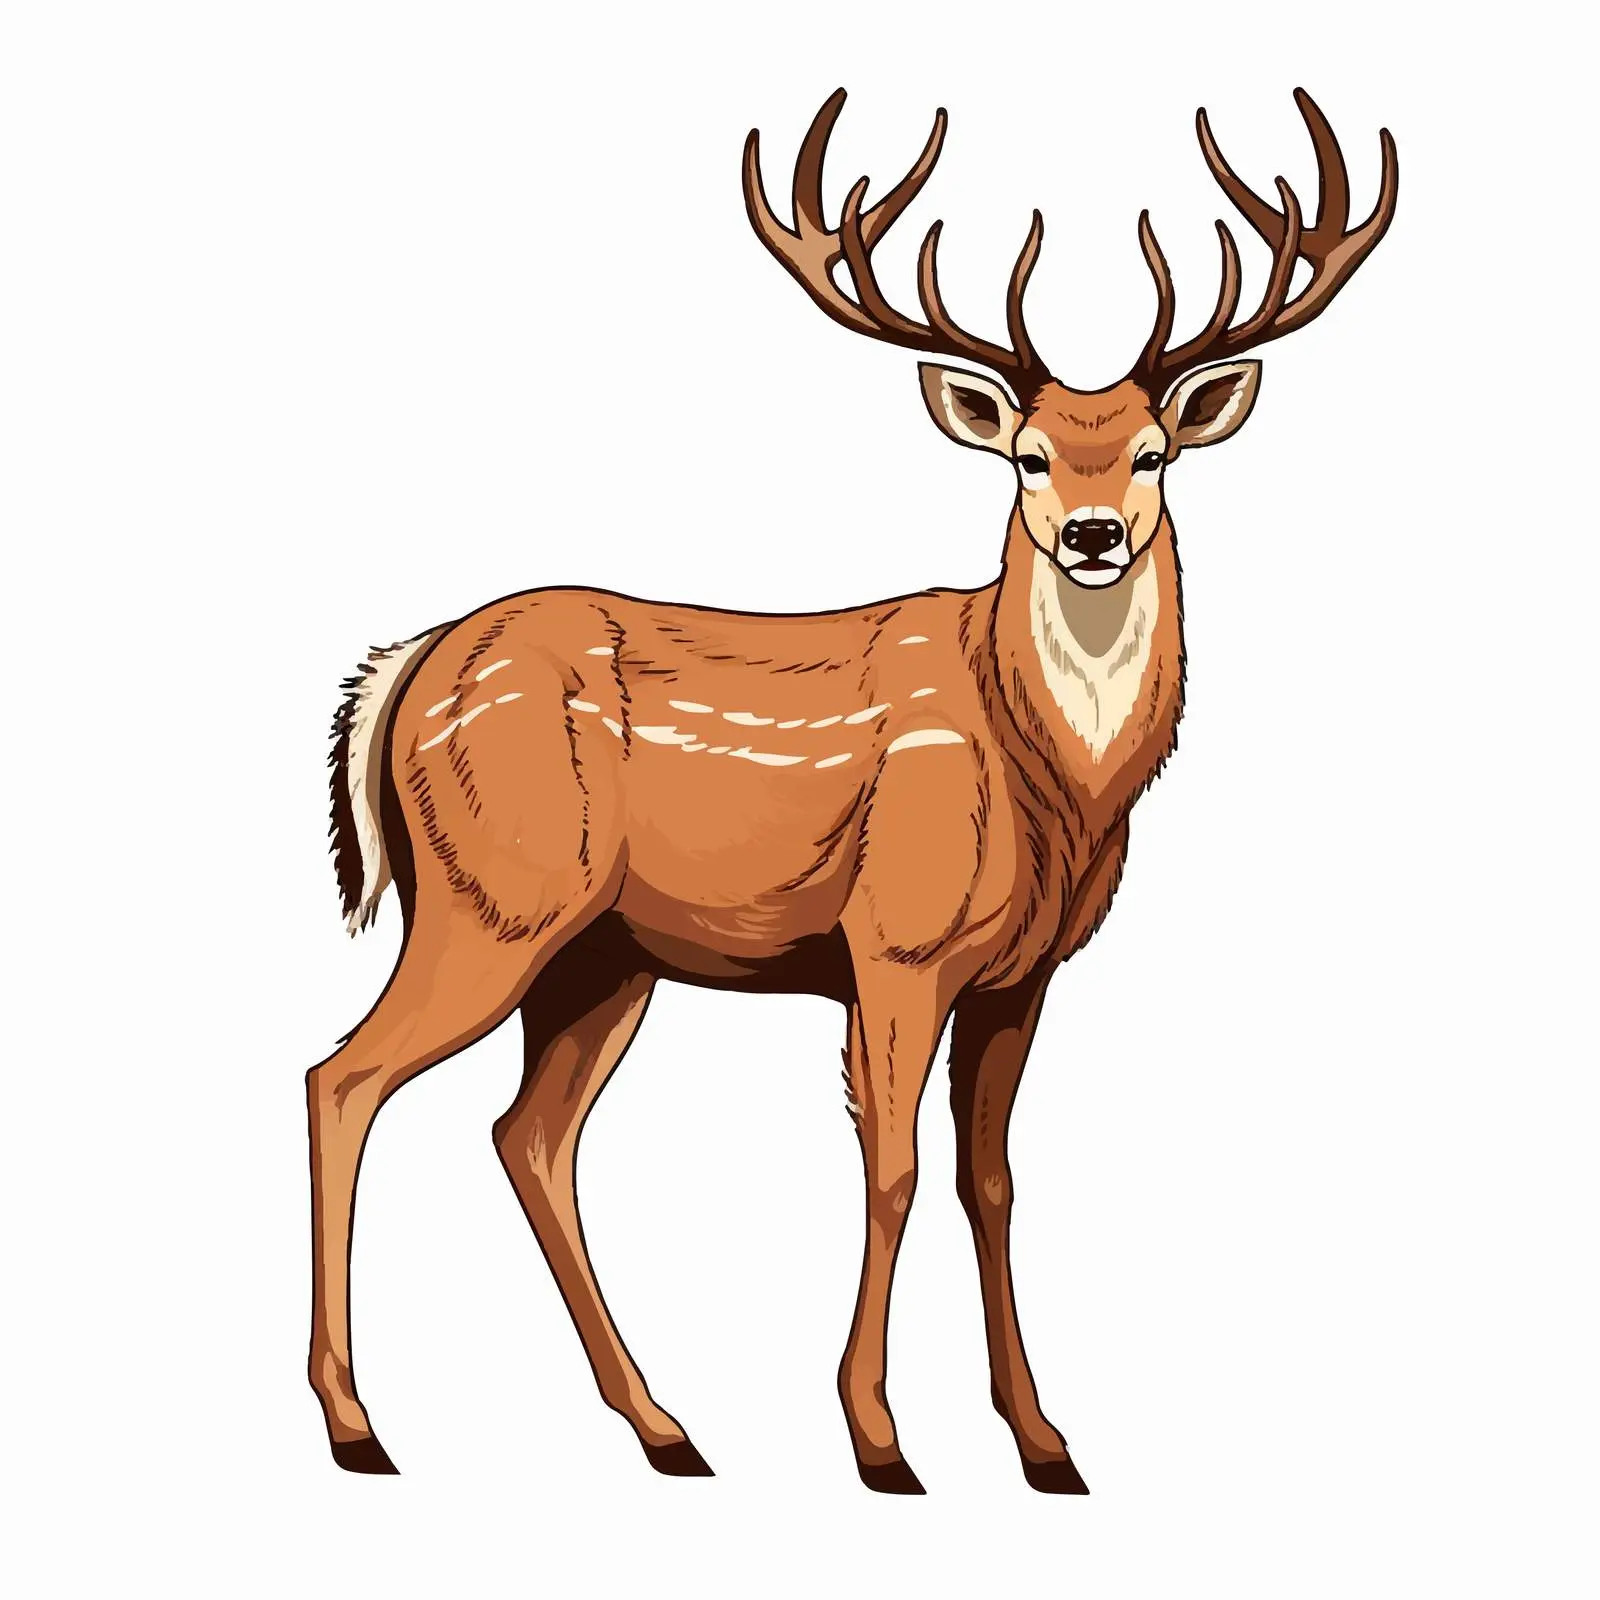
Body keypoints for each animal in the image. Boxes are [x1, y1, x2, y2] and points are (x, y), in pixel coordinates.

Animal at [308, 87, 1397, 1492]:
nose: (1094, 534)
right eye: (1027, 458)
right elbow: (893, 1168)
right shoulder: (895, 937)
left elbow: (993, 1179)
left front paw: (1043, 1441)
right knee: (345, 1079)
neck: (1046, 775)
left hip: (604, 952)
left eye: (1153, 453)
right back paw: (356, 1423)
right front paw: (878, 1438)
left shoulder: (1023, 971)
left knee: (529, 1135)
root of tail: (406, 665)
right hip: (493, 895)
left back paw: (665, 1427)